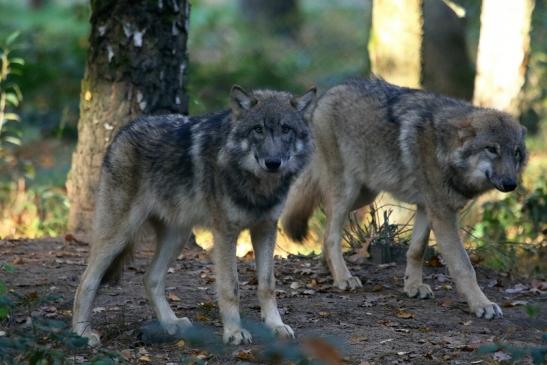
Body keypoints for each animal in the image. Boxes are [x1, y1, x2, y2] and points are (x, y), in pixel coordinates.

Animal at [71, 84, 316, 344]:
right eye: (258, 129)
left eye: (286, 129)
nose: (273, 162)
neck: (258, 186)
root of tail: (123, 132)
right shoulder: (225, 233)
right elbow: (231, 287)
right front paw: (234, 332)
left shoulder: (266, 228)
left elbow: (268, 284)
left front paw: (275, 325)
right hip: (119, 235)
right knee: (86, 281)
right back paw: (82, 333)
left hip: (176, 237)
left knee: (150, 278)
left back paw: (171, 323)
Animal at [282, 77, 528, 318]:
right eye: (492, 149)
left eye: (516, 152)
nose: (511, 184)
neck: (445, 148)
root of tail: (327, 95)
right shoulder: (443, 214)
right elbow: (464, 266)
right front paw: (482, 305)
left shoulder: (427, 207)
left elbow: (417, 250)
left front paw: (413, 286)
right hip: (347, 191)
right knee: (330, 233)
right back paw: (343, 277)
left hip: (364, 195)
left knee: (325, 221)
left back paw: (329, 267)